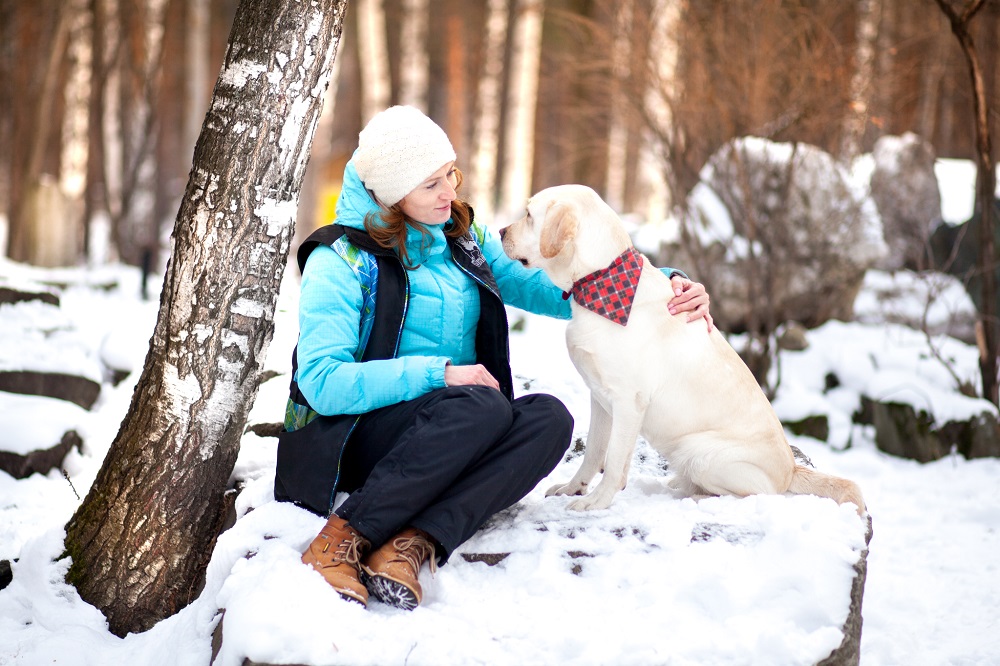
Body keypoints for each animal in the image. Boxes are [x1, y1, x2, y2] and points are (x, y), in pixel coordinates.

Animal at [504, 184, 864, 510]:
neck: (601, 284)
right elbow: (594, 453)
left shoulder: (628, 402)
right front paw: (572, 489)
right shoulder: (600, 398)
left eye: (529, 214)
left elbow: (615, 461)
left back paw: (693, 493)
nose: (501, 231)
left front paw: (596, 502)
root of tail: (791, 469)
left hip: (700, 452)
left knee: (752, 495)